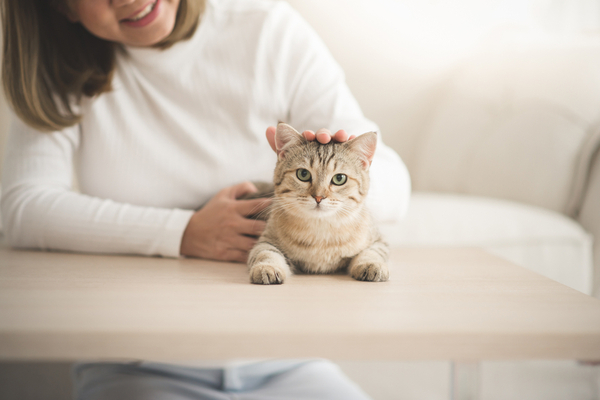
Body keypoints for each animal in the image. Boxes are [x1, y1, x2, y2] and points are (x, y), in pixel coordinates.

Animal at [247, 123, 390, 282]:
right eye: (303, 174)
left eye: (339, 178)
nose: (318, 197)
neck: (321, 230)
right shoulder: (266, 240)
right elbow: (265, 253)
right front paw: (267, 267)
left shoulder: (379, 242)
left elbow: (372, 252)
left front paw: (371, 264)